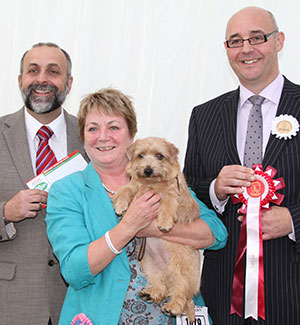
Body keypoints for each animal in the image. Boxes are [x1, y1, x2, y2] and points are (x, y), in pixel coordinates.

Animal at [113, 135, 200, 320]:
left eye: (160, 156)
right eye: (140, 155)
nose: (147, 170)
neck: (151, 183)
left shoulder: (173, 193)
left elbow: (167, 203)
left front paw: (165, 222)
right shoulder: (134, 187)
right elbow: (125, 189)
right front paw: (121, 204)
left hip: (180, 269)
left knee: (180, 293)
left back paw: (172, 307)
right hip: (150, 265)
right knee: (161, 286)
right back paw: (150, 292)